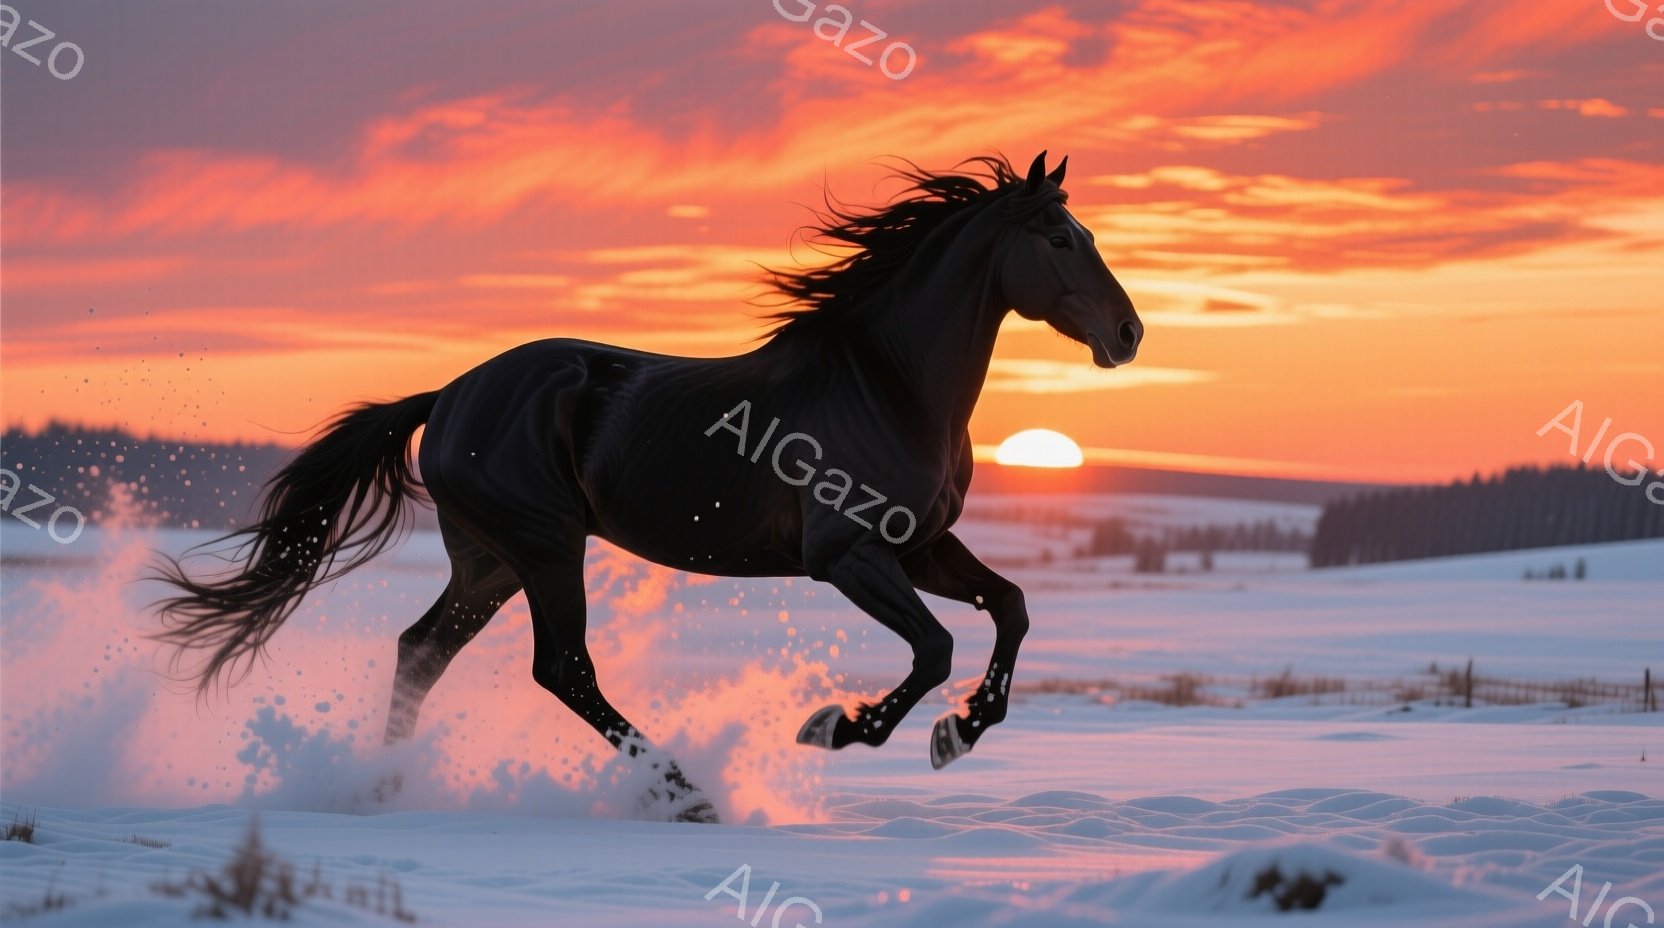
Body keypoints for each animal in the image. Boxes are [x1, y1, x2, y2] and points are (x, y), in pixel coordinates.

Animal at [152, 151, 1143, 824]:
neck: (886, 385)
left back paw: (378, 791)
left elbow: (1010, 607)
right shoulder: (847, 555)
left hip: (490, 561)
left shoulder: (921, 543)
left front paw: (960, 732)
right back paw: (686, 793)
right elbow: (935, 648)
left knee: (422, 651)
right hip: (547, 547)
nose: (1129, 333)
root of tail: (453, 393)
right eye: (1062, 238)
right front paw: (838, 728)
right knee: (563, 668)